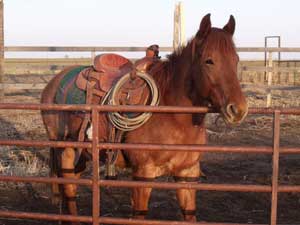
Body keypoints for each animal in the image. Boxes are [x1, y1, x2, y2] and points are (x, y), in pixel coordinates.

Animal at [41, 14, 248, 223]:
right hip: (65, 149)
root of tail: (54, 82)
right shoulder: (143, 173)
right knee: (68, 187)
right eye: (209, 61)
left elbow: (189, 215)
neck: (173, 116)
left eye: (236, 59)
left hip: (82, 152)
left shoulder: (187, 173)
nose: (238, 109)